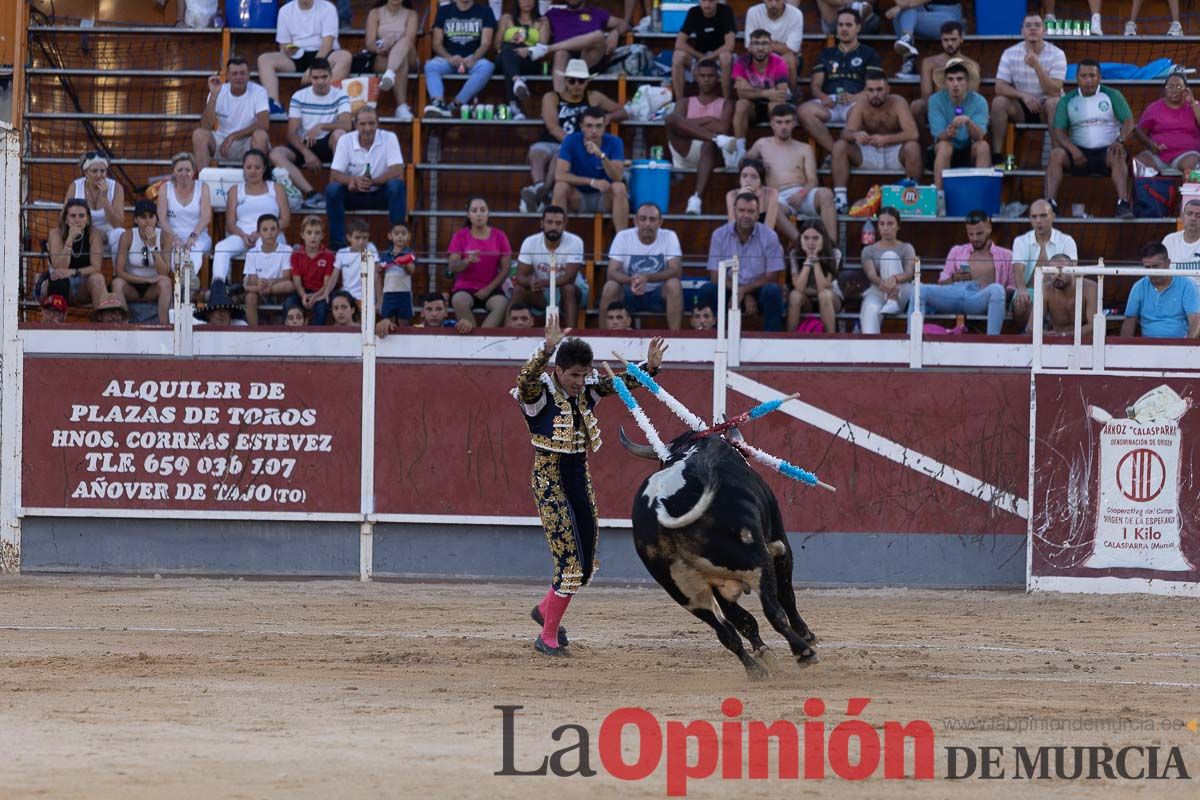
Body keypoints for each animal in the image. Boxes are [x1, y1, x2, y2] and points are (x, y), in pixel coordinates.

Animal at [619, 429, 816, 681]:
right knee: (773, 611)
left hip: (684, 591)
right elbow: (786, 596)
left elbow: (742, 621)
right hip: (757, 561)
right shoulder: (779, 543)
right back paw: (803, 652)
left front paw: (765, 654)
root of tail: (662, 505)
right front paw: (806, 634)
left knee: (726, 631)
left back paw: (756, 670)